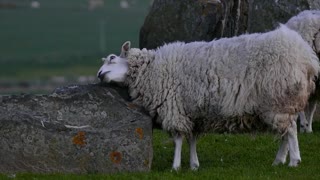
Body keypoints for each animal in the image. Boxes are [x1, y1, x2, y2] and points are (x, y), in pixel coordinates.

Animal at [97, 25, 320, 170]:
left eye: (112, 58)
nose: (99, 74)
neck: (152, 70)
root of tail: (306, 57)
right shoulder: (193, 112)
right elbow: (192, 139)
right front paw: (194, 165)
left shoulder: (174, 108)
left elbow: (178, 139)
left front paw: (175, 166)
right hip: (281, 105)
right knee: (285, 132)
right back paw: (279, 161)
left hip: (279, 101)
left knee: (290, 131)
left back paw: (293, 161)